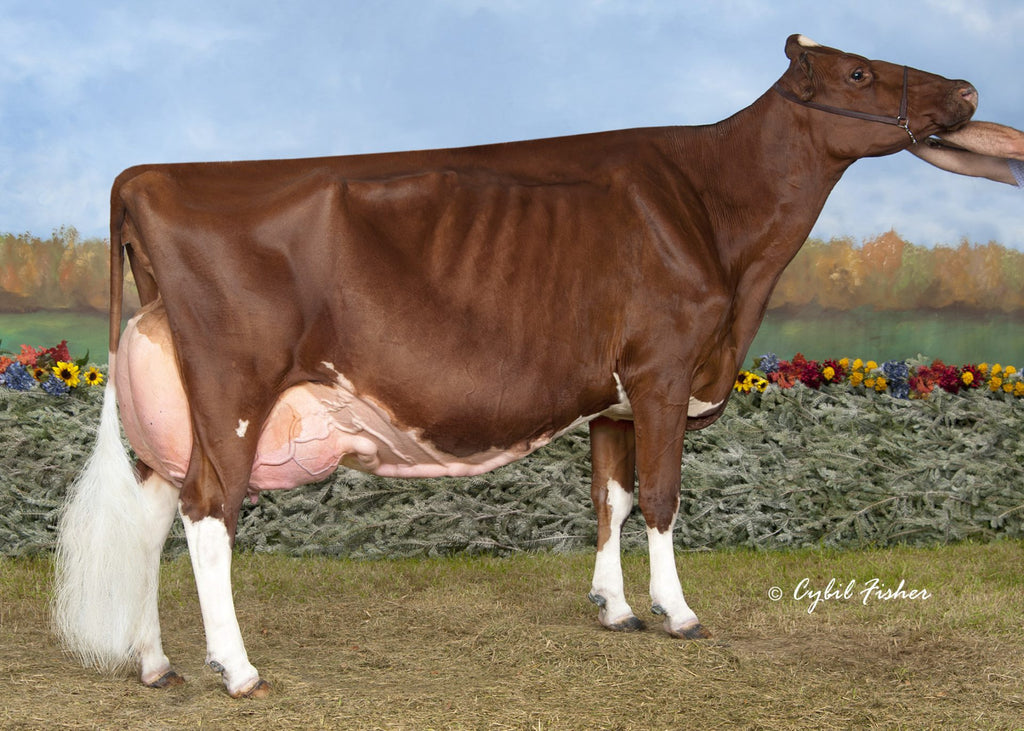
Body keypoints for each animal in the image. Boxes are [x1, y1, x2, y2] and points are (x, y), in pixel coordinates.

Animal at [53, 35, 977, 698]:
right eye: (859, 71)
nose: (966, 91)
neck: (716, 217)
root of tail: (148, 176)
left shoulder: (611, 399)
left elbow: (610, 496)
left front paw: (614, 608)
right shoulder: (665, 371)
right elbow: (662, 496)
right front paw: (678, 612)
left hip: (177, 415)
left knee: (153, 515)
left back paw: (155, 663)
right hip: (234, 393)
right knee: (208, 516)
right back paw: (238, 669)